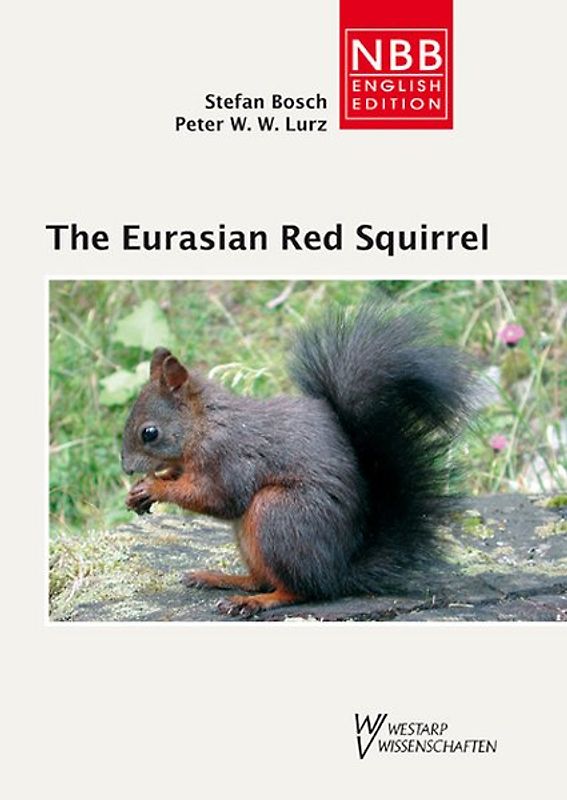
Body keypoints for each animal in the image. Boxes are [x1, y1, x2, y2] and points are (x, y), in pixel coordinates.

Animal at [121, 302, 473, 617]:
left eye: (149, 433)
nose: (126, 468)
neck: (203, 425)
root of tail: (337, 572)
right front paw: (142, 489)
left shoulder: (228, 457)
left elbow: (220, 498)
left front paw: (155, 488)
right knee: (261, 579)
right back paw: (219, 578)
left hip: (276, 514)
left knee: (300, 590)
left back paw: (254, 602)